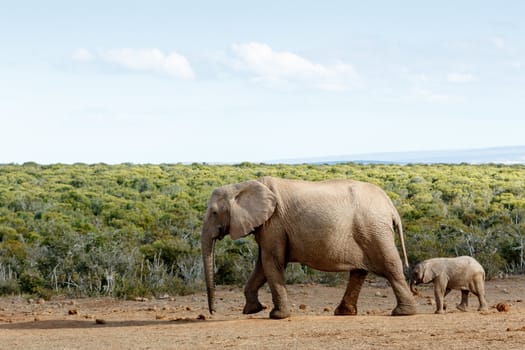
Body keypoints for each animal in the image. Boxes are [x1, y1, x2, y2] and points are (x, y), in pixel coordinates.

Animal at [201, 176, 418, 318]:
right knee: (359, 271)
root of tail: (391, 206)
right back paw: (343, 313)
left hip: (374, 229)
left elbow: (271, 263)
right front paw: (253, 310)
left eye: (214, 212)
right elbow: (262, 265)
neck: (242, 185)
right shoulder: (267, 226)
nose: (212, 312)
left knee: (390, 265)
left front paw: (276, 315)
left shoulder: (274, 223)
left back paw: (403, 313)